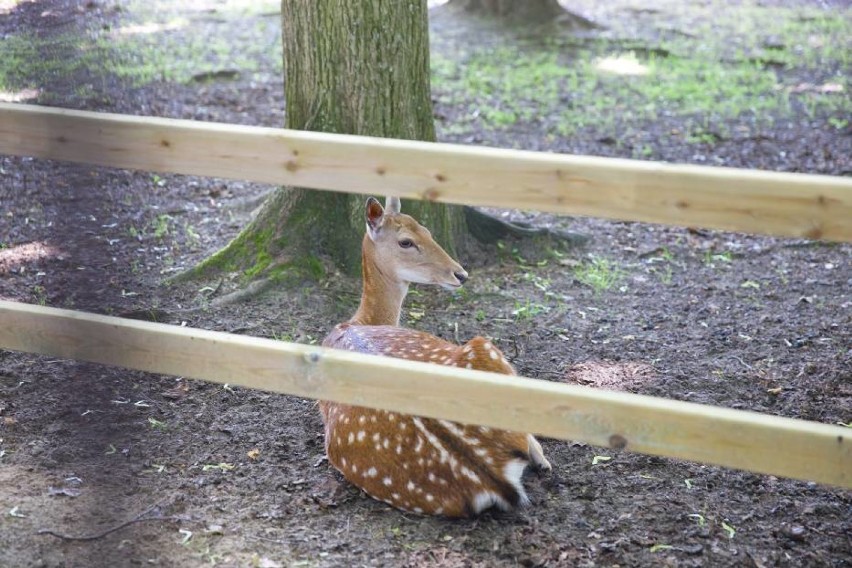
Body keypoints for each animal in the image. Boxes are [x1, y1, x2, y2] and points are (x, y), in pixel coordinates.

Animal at [320, 196, 552, 520]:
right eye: (406, 241)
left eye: (428, 229)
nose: (461, 274)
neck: (358, 321)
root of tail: (494, 477)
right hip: (482, 344)